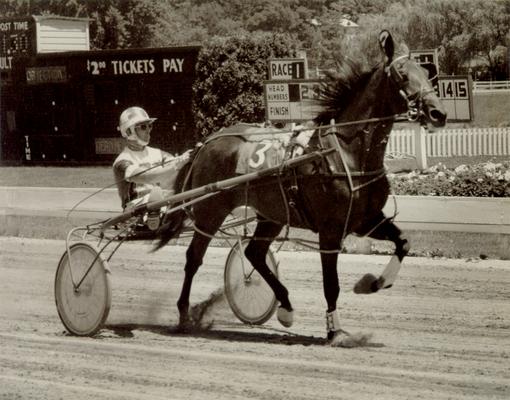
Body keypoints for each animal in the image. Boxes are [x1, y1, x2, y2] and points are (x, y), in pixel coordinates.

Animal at [158, 31, 446, 342]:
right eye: (402, 75)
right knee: (194, 258)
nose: (438, 113)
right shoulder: (331, 230)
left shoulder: (366, 219)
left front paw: (372, 283)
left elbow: (403, 242)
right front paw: (334, 330)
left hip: (271, 214)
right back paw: (184, 315)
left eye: (427, 73)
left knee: (254, 253)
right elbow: (331, 284)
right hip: (210, 211)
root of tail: (206, 143)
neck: (347, 151)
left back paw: (285, 306)